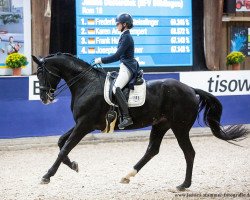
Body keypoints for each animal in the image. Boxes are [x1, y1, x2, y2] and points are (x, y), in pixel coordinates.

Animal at [31, 53, 248, 191]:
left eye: (41, 72)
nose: (44, 98)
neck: (87, 84)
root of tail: (190, 88)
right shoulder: (81, 123)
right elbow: (61, 142)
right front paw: (74, 165)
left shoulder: (85, 124)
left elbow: (65, 147)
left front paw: (46, 176)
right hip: (161, 124)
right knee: (152, 150)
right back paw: (128, 175)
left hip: (179, 127)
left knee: (189, 153)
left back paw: (183, 185)